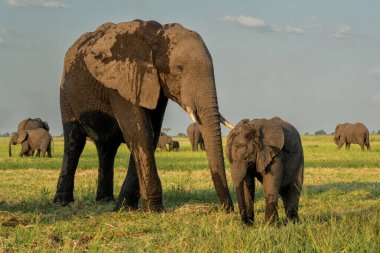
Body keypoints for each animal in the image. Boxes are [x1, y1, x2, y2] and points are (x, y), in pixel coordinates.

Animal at [53, 19, 235, 211]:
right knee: (74, 143)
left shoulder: (155, 85)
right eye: (179, 69)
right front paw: (154, 210)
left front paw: (127, 207)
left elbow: (151, 133)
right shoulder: (124, 80)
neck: (156, 36)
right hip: (66, 91)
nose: (226, 209)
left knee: (107, 148)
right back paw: (62, 202)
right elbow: (140, 132)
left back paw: (105, 201)